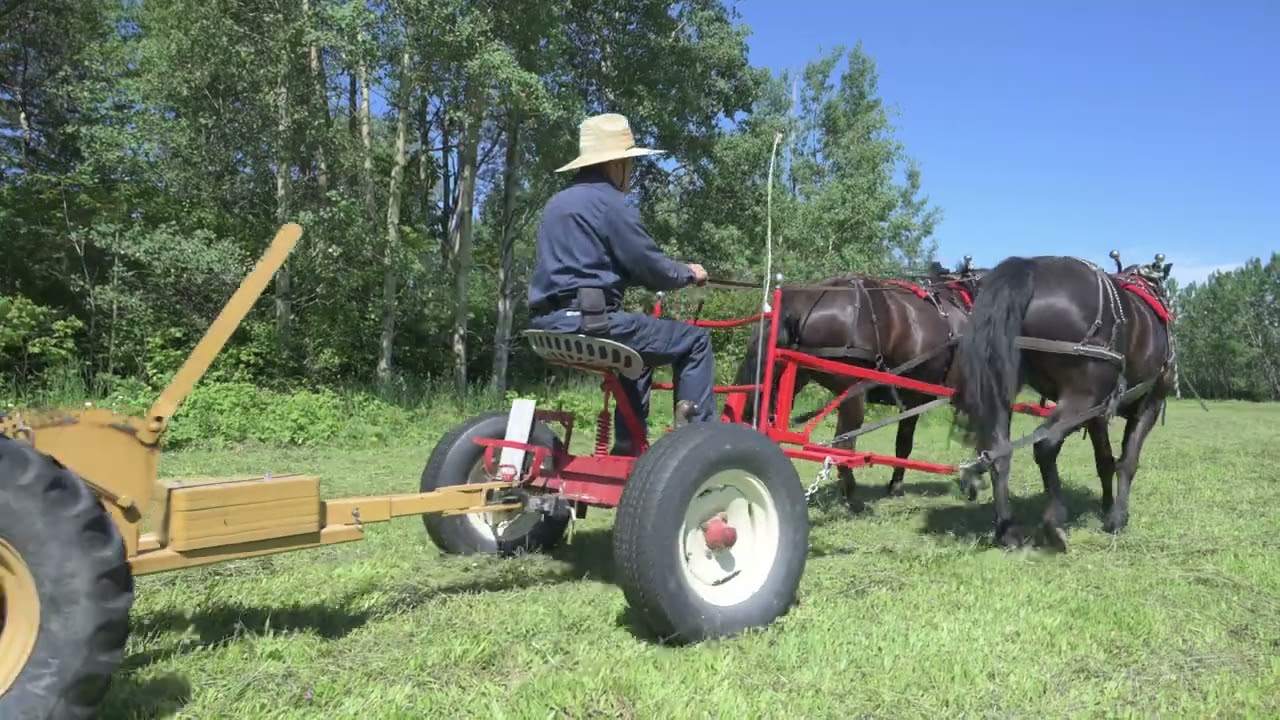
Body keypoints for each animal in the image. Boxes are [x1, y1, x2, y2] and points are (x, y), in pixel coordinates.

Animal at [734, 260, 984, 508]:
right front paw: (973, 477)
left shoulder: (911, 399)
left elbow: (903, 443)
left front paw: (896, 485)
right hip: (852, 392)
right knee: (842, 447)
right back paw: (852, 497)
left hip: (793, 380)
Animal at [949, 251, 1176, 550]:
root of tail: (1029, 267)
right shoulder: (1149, 404)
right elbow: (1127, 461)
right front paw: (1117, 517)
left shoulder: (1098, 413)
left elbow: (1104, 461)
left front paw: (1106, 506)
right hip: (1081, 397)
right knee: (1046, 444)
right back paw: (1054, 523)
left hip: (1006, 388)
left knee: (999, 452)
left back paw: (1007, 531)